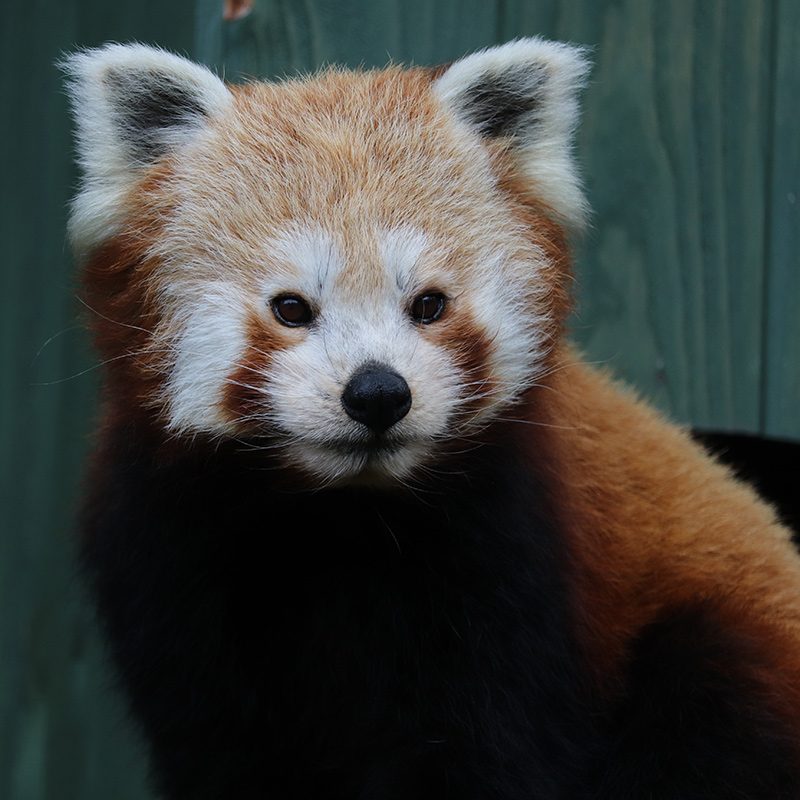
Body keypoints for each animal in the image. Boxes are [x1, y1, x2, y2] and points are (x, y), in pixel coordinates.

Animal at [65, 39, 800, 800]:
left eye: (429, 304)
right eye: (291, 307)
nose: (378, 394)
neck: (341, 522)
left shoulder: (516, 564)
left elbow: (492, 752)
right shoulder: (169, 568)